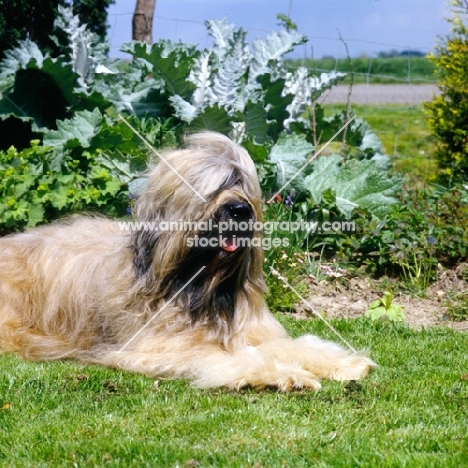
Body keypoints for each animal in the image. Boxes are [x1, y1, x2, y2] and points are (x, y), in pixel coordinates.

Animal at [0, 132, 374, 392]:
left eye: (241, 182)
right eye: (213, 188)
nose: (240, 210)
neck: (200, 285)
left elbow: (293, 345)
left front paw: (342, 363)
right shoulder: (158, 346)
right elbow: (232, 357)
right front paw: (288, 376)